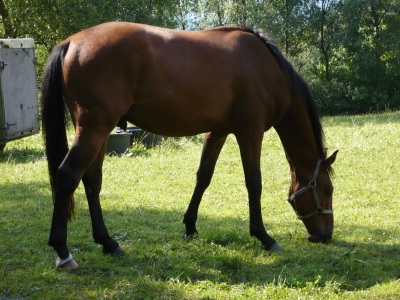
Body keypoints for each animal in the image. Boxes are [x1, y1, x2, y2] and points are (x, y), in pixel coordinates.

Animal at [41, 21, 338, 270]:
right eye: (327, 189)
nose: (324, 236)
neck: (266, 67)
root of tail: (71, 42)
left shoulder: (218, 131)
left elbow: (203, 177)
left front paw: (190, 227)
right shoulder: (250, 132)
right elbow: (254, 182)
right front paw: (264, 236)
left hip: (98, 132)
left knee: (92, 181)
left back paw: (108, 243)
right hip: (94, 129)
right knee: (68, 176)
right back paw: (63, 252)